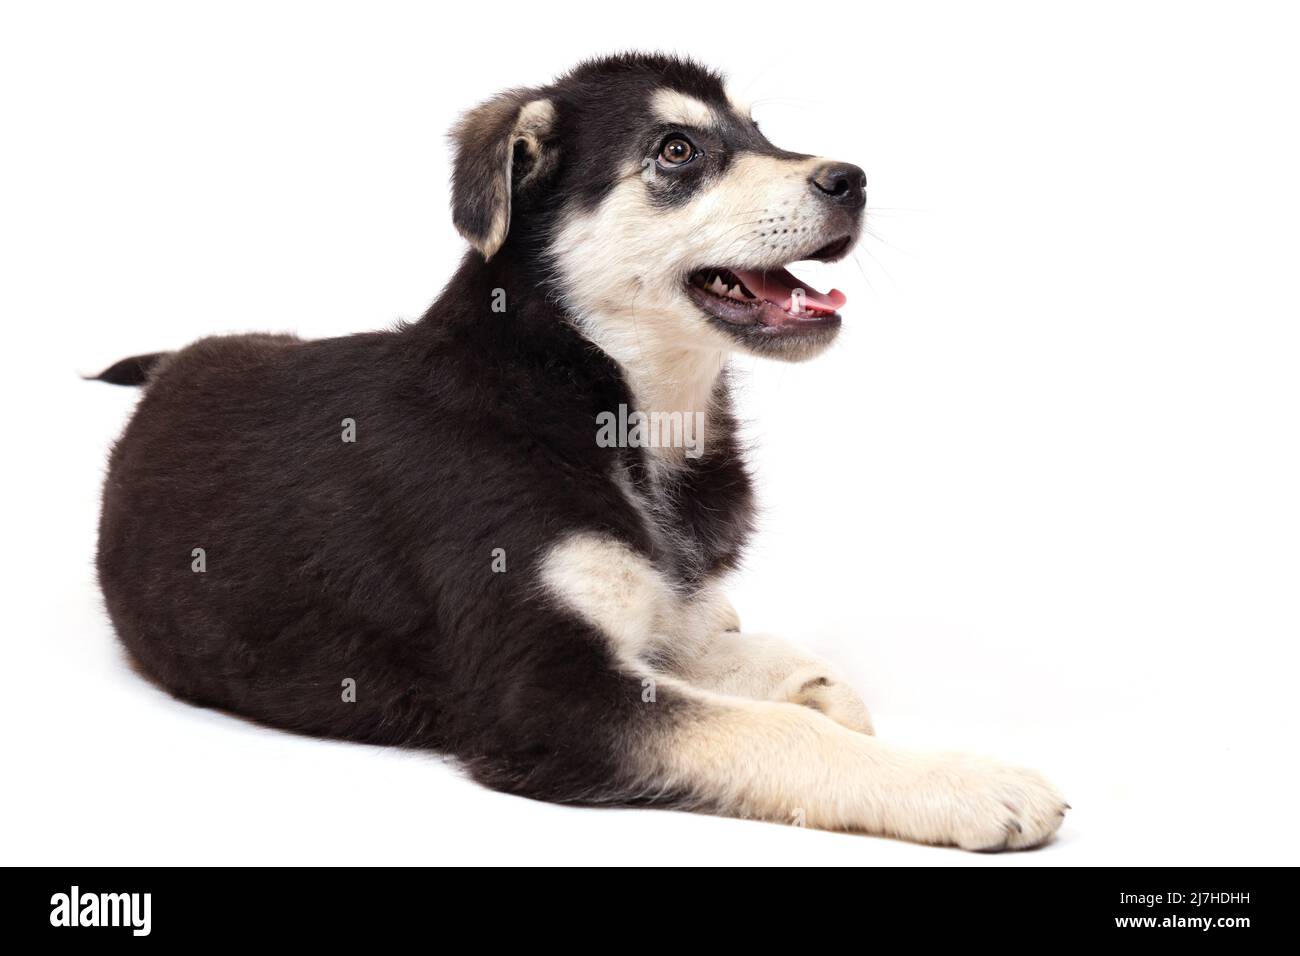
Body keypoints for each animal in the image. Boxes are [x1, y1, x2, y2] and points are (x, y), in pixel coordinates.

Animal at [94, 52, 1066, 848]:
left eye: (760, 132)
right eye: (676, 150)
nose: (853, 179)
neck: (604, 408)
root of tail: (173, 368)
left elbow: (724, 659)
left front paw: (807, 679)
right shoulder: (540, 693)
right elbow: (770, 730)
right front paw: (967, 782)